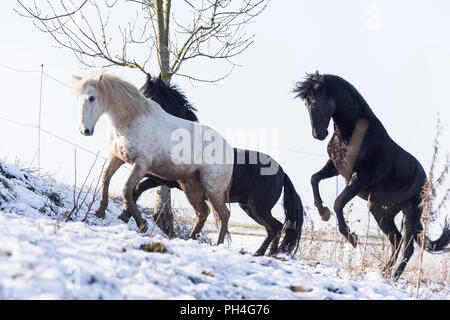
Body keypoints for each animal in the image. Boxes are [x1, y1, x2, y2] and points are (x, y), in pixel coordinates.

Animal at [72, 72, 234, 242]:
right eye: (78, 98)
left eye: (91, 98)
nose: (85, 130)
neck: (132, 120)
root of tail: (229, 150)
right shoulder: (117, 158)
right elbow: (106, 178)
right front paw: (101, 211)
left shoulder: (140, 166)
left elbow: (128, 189)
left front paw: (141, 223)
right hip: (191, 186)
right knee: (203, 213)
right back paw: (190, 239)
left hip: (212, 189)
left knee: (224, 214)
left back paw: (218, 244)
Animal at [118, 74, 302, 256]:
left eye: (146, 93)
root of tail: (282, 173)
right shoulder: (159, 177)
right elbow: (137, 189)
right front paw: (125, 216)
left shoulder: (164, 178)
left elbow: (136, 188)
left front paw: (128, 217)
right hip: (248, 206)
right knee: (277, 226)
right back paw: (271, 254)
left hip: (257, 206)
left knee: (274, 227)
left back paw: (259, 252)